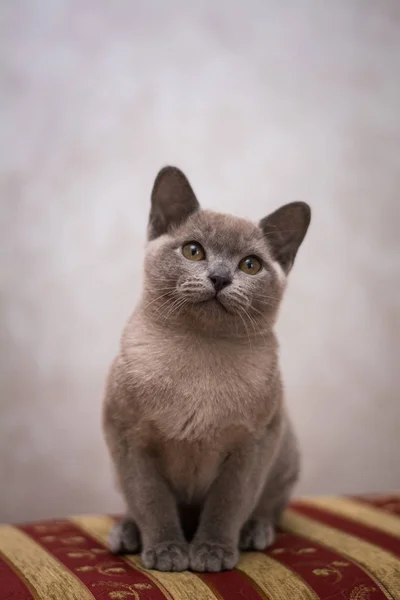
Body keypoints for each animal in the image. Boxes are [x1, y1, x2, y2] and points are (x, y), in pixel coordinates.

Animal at [102, 166, 310, 576]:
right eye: (193, 251)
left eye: (250, 265)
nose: (219, 277)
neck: (200, 353)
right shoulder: (131, 441)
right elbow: (152, 503)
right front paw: (167, 552)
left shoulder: (250, 446)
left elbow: (226, 506)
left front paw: (212, 552)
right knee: (138, 508)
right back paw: (127, 535)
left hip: (284, 453)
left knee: (268, 509)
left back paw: (254, 533)